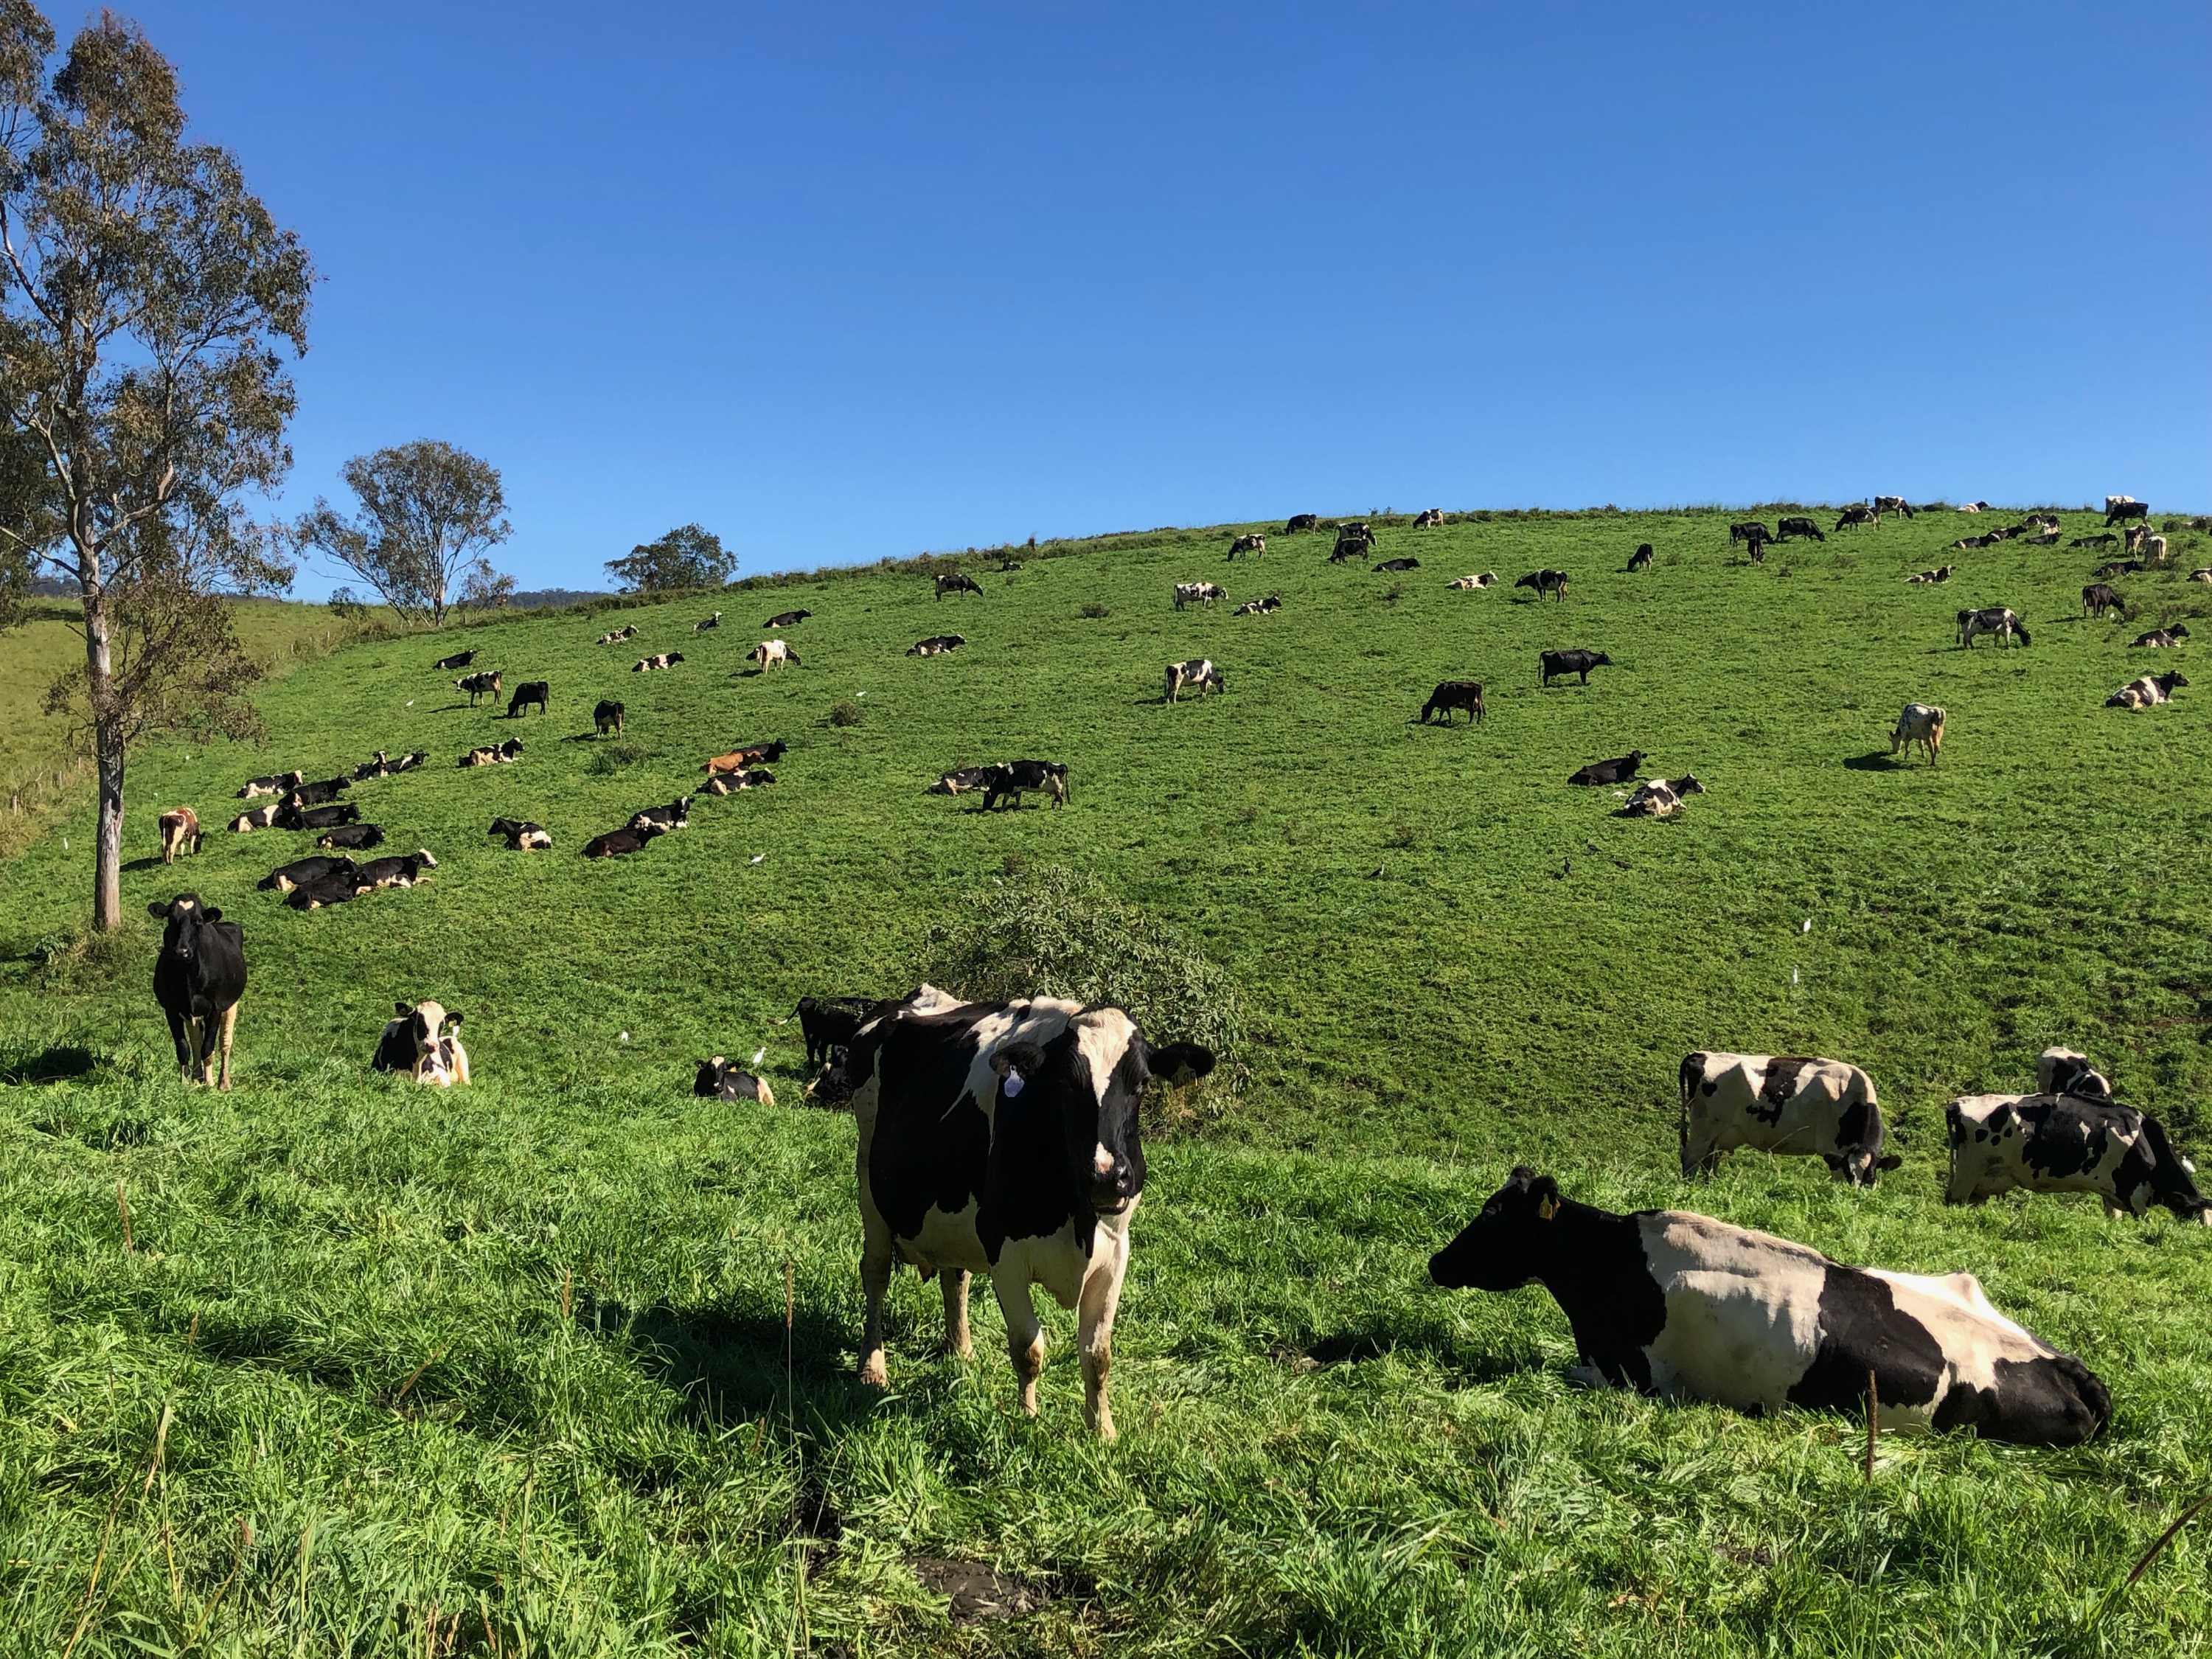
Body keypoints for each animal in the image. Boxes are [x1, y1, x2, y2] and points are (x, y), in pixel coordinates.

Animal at [148, 894, 247, 1090]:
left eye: (198, 921)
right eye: (171, 919)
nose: (182, 951)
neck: (188, 976)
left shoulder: (215, 1007)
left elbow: (208, 1047)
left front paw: (209, 1083)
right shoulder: (171, 1009)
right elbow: (184, 1047)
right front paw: (185, 1083)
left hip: (232, 1003)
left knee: (225, 1042)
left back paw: (223, 1083)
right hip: (190, 1012)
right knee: (195, 1040)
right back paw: (196, 1078)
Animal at [847, 987, 1215, 1437]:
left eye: (1143, 1084)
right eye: (1066, 1083)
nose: (1108, 1177)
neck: (1078, 1218)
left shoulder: (1116, 1252)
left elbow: (1098, 1353)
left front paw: (1103, 1431)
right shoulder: (1002, 1248)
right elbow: (1028, 1346)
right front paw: (1028, 1418)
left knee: (956, 1277)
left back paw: (961, 1349)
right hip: (871, 1191)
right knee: (876, 1274)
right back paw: (872, 1366)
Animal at [1679, 1052, 1896, 1184]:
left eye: (1870, 1178)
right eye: (1849, 1176)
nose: (1856, 1198)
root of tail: (1701, 1054)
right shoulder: (1833, 1150)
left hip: (1719, 1134)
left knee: (1709, 1161)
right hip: (1704, 1127)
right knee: (1691, 1157)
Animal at [1946, 1094, 2206, 1223]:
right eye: (2196, 1214)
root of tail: (1958, 1103)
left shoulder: (2112, 1192)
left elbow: (2114, 1218)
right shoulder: (2135, 1195)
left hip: (1981, 1181)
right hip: (1968, 1171)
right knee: (1954, 1201)